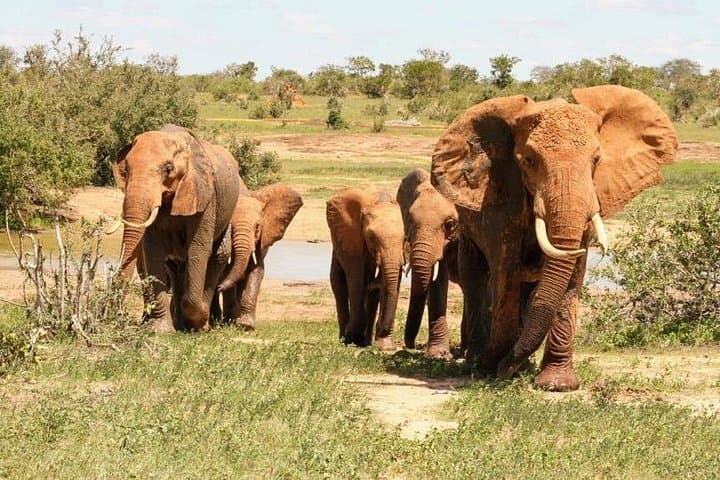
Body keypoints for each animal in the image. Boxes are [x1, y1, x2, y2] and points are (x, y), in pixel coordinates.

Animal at [109, 124, 242, 331]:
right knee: (175, 266)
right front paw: (160, 330)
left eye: (168, 169)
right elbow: (153, 252)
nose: (117, 315)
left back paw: (201, 324)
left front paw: (199, 323)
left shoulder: (205, 195)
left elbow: (198, 249)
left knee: (218, 255)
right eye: (126, 169)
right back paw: (181, 323)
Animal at [215, 183, 303, 330]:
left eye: (257, 227)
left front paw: (246, 326)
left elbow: (256, 270)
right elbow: (226, 272)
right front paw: (231, 323)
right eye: (230, 227)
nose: (219, 288)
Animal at [326, 188, 405, 350]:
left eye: (405, 238)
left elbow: (386, 285)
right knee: (338, 284)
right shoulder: (352, 239)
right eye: (371, 237)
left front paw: (385, 346)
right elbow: (356, 279)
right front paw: (351, 337)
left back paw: (366, 342)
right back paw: (345, 338)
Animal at [431, 85, 678, 391]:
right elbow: (506, 273)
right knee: (476, 278)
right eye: (528, 161)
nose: (502, 368)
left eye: (596, 161)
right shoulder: (503, 198)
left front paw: (556, 384)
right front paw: (497, 368)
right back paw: (478, 362)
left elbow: (572, 277)